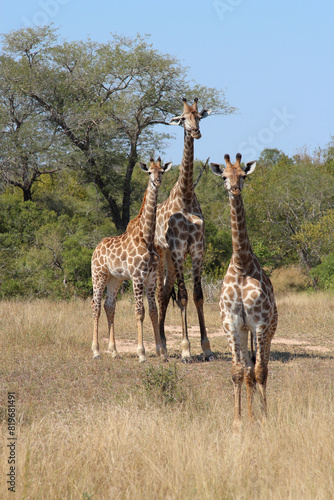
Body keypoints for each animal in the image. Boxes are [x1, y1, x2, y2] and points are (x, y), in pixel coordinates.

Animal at [91, 158, 172, 362]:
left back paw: (114, 351)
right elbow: (139, 312)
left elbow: (153, 311)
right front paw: (141, 353)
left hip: (114, 279)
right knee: (95, 306)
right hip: (98, 275)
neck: (147, 237)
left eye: (162, 171)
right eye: (149, 172)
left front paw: (161, 353)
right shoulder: (137, 277)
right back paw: (96, 351)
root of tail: (95, 249)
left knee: (109, 306)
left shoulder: (151, 278)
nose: (157, 182)